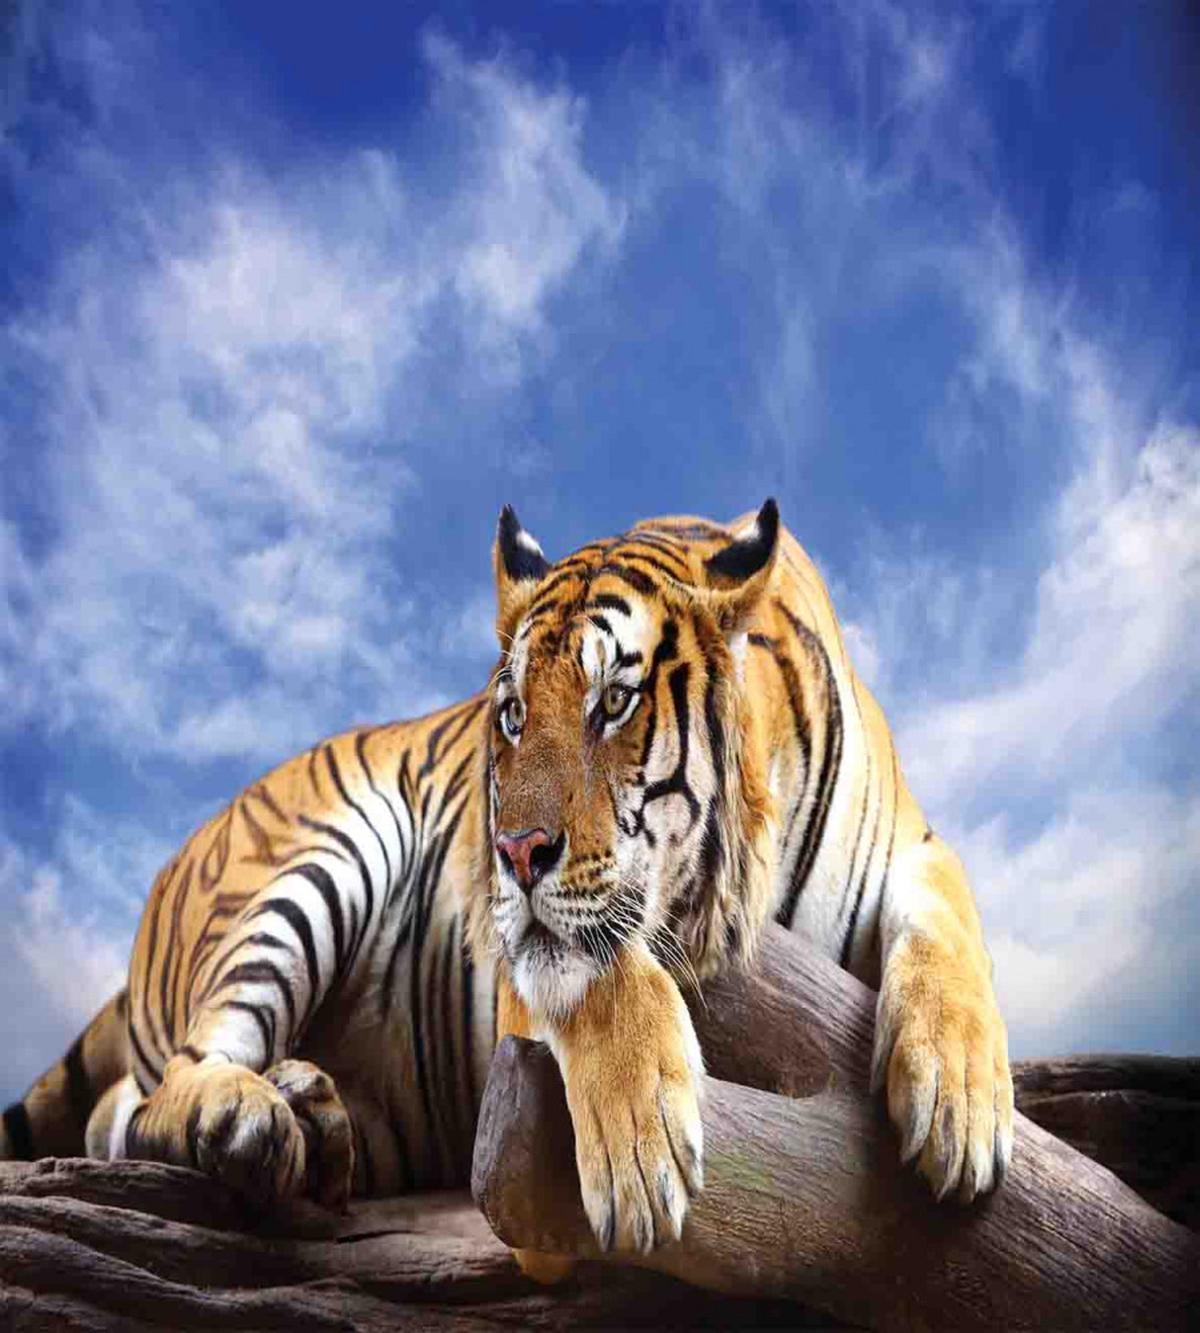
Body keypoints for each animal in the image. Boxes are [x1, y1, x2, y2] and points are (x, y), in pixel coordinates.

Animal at [1, 501, 1013, 1260]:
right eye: (517, 714)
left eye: (615, 701)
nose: (515, 851)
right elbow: (598, 973)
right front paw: (641, 1154)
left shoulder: (914, 846)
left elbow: (952, 933)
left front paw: (961, 1105)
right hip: (320, 860)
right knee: (162, 1086)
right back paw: (246, 1119)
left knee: (117, 1112)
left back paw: (314, 1114)